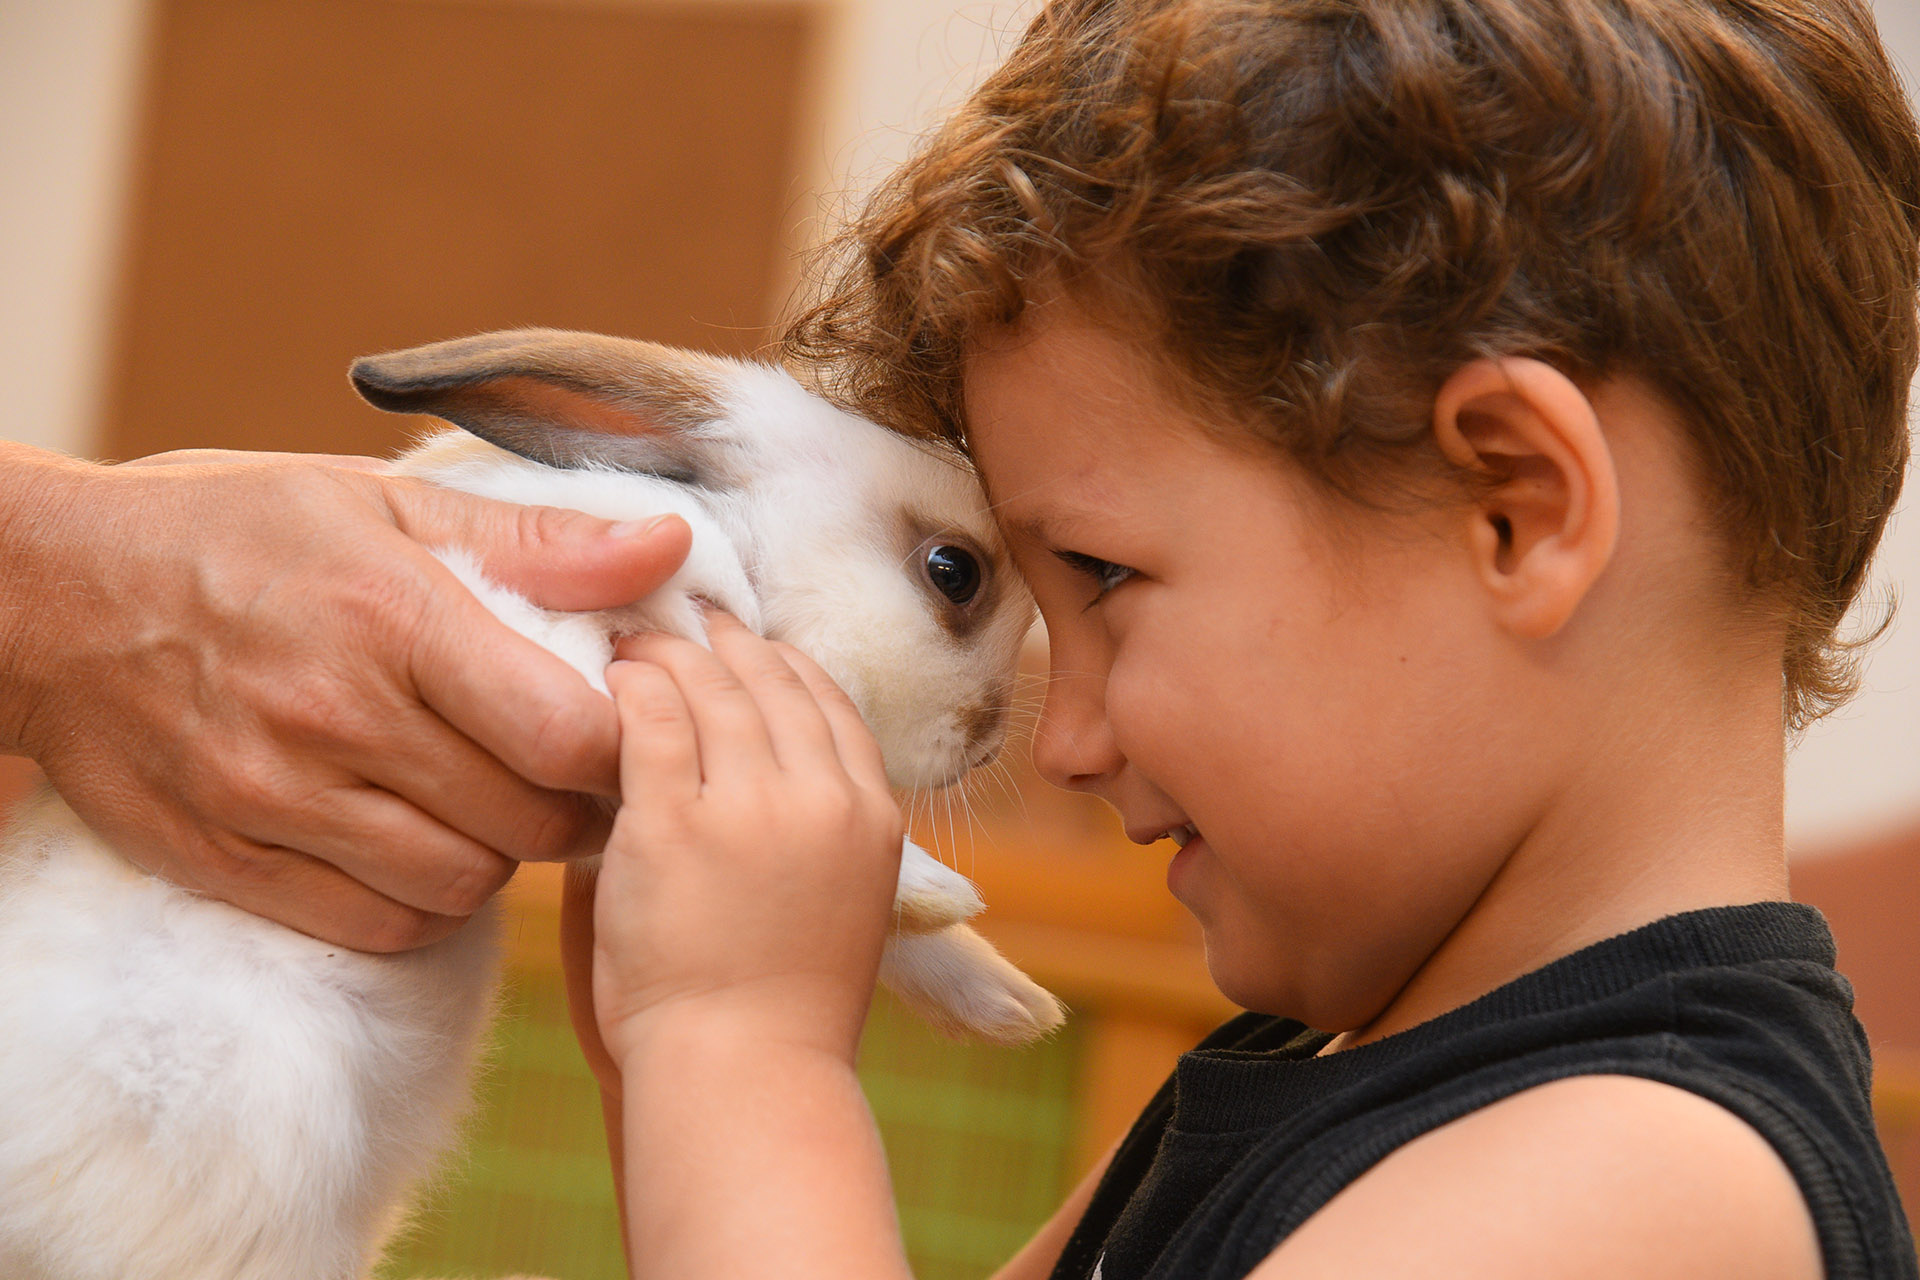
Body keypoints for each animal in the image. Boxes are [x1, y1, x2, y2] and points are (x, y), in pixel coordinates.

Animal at [0, 330, 1059, 1280]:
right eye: (954, 572)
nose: (985, 739)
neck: (751, 548)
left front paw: (1007, 1004)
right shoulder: (573, 655)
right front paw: (940, 894)